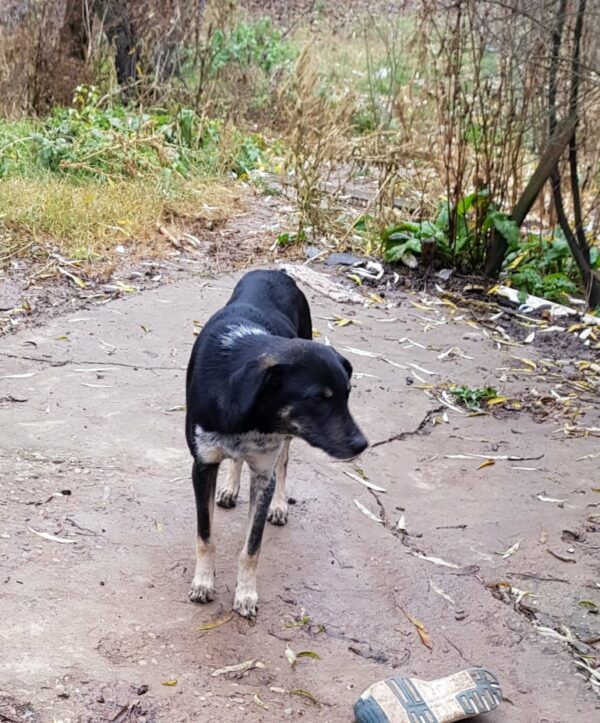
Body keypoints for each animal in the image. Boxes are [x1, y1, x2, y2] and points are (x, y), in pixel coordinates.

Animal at [185, 268, 368, 620]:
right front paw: (203, 583)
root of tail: (274, 271)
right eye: (318, 398)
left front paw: (245, 594)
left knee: (283, 462)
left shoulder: (263, 472)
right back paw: (229, 489)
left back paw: (280, 505)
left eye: (347, 394)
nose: (362, 444)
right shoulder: (202, 465)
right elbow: (205, 535)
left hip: (284, 441)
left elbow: (251, 546)